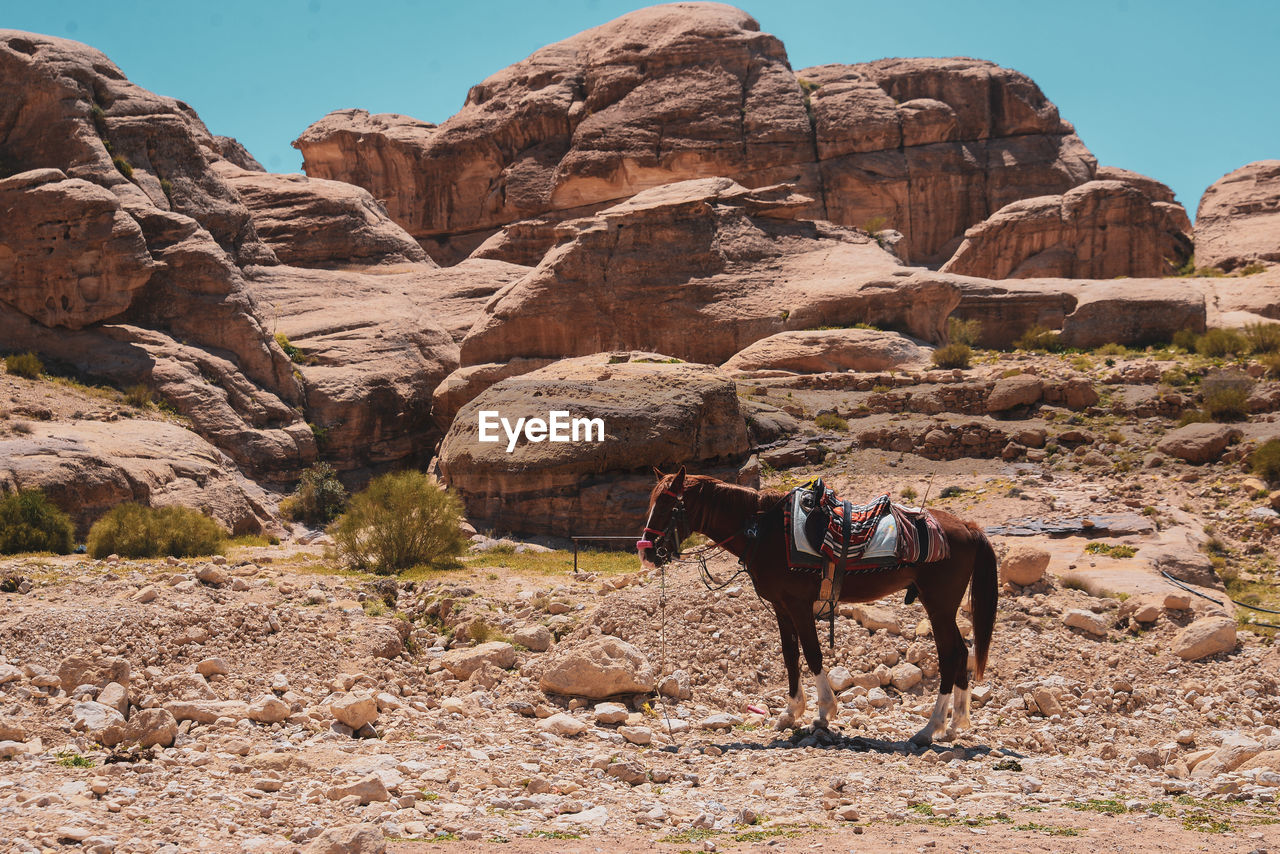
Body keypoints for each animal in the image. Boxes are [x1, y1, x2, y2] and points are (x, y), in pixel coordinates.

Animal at [640, 468, 998, 747]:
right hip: (943, 609)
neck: (765, 532)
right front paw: (790, 713)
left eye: (670, 505)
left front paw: (823, 712)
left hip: (938, 606)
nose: (646, 551)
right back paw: (954, 726)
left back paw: (930, 728)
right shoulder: (781, 607)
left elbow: (812, 654)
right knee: (962, 653)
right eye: (652, 502)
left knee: (951, 656)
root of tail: (968, 528)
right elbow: (790, 657)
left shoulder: (799, 605)